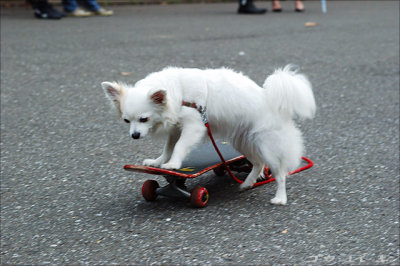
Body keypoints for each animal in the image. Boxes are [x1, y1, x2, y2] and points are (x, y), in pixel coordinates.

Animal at [103, 66, 316, 204]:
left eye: (144, 119)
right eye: (126, 121)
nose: (135, 135)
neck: (178, 94)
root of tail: (271, 100)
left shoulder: (194, 126)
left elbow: (179, 147)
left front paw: (172, 165)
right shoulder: (176, 128)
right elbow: (168, 148)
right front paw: (158, 162)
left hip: (267, 146)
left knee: (279, 173)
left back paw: (280, 198)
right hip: (244, 142)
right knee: (258, 163)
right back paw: (247, 184)